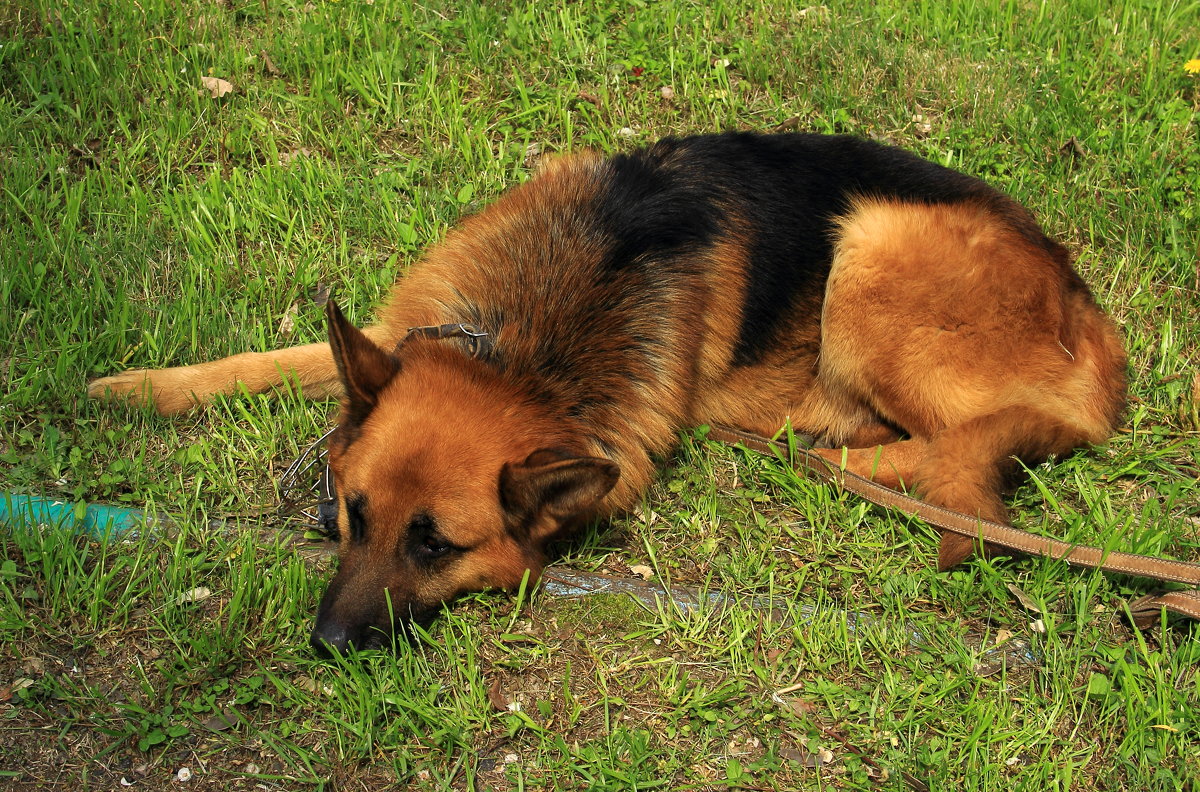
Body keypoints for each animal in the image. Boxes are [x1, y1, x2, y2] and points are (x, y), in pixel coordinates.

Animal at [88, 133, 1128, 652]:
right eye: (354, 512)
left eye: (437, 546)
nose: (329, 644)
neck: (521, 352)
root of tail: (1089, 316)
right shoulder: (402, 332)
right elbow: (271, 358)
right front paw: (133, 387)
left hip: (871, 248)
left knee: (985, 434)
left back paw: (833, 458)